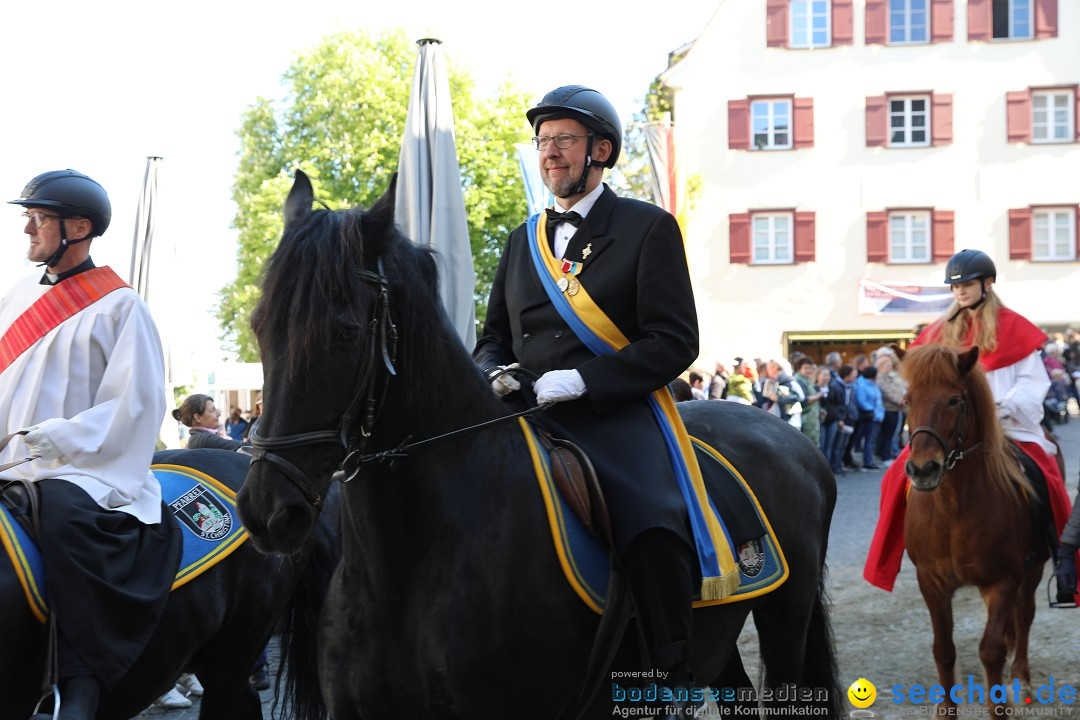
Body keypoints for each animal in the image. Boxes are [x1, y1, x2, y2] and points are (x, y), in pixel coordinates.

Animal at [238, 171, 842, 716]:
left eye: (343, 332)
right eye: (258, 325)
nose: (268, 511)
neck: (405, 570)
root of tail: (793, 440)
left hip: (785, 620)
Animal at [898, 345, 1049, 712]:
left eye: (954, 400)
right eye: (907, 399)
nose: (923, 469)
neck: (954, 510)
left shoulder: (1003, 581)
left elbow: (991, 651)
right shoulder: (932, 583)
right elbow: (944, 650)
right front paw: (945, 712)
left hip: (1033, 569)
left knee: (1025, 616)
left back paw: (1021, 677)